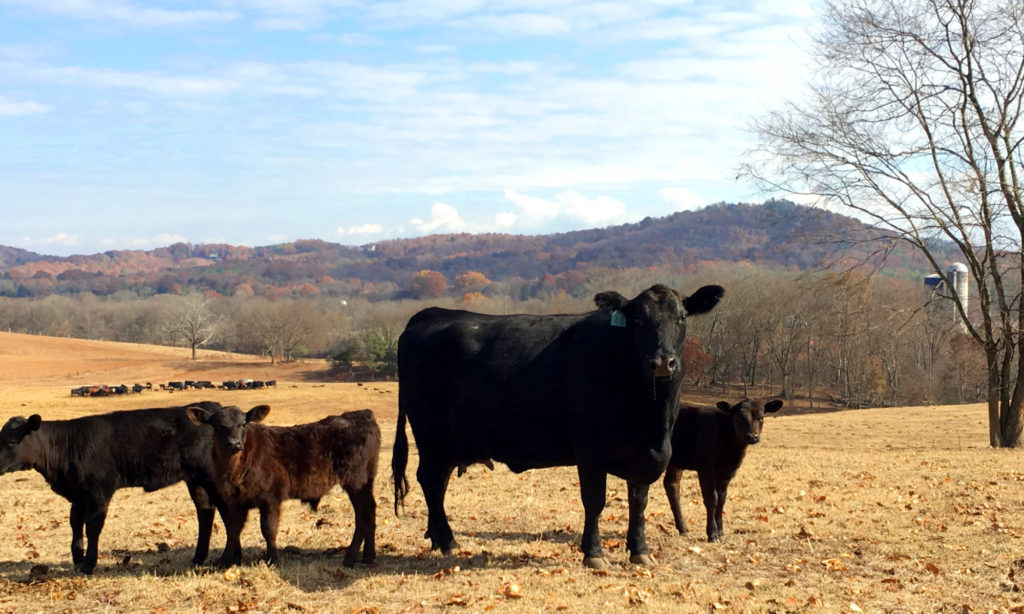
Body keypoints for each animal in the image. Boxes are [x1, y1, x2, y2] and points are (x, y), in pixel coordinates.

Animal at [0, 401, 226, 573]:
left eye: (11, 441)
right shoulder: (78, 496)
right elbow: (75, 524)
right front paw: (78, 558)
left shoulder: (99, 492)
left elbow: (92, 527)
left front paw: (88, 565)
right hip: (194, 481)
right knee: (205, 511)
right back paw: (198, 558)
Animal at [187, 405, 380, 568]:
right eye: (217, 426)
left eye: (243, 424)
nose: (234, 443)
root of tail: (362, 414)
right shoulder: (235, 502)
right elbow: (233, 530)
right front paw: (225, 561)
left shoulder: (270, 499)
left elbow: (268, 529)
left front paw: (272, 560)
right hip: (366, 482)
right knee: (370, 511)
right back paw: (368, 557)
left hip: (355, 482)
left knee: (362, 515)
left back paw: (350, 558)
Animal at [391, 284, 720, 568]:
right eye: (637, 321)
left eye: (681, 317)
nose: (663, 362)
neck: (650, 418)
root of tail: (432, 314)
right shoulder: (590, 449)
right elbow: (594, 500)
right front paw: (593, 554)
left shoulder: (644, 453)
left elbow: (639, 501)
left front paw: (640, 551)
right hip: (431, 436)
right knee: (430, 480)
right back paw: (447, 541)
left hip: (449, 444)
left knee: (439, 483)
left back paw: (438, 539)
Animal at [663, 395, 782, 540]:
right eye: (739, 418)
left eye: (761, 417)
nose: (752, 436)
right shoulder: (706, 469)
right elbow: (711, 499)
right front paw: (712, 533)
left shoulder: (727, 472)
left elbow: (721, 499)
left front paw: (720, 531)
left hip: (675, 461)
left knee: (672, 484)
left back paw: (683, 529)